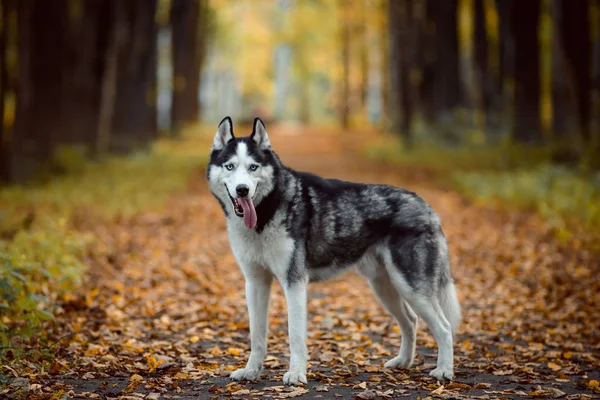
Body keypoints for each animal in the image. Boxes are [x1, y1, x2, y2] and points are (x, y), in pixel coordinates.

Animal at [204, 117, 462, 386]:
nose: (242, 190)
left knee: (444, 328)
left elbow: (295, 335)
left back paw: (444, 370)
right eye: (230, 166)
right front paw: (251, 371)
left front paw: (296, 374)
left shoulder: (294, 282)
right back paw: (403, 362)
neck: (267, 211)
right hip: (386, 286)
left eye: (253, 167)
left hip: (411, 288)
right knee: (411, 321)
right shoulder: (255, 282)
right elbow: (257, 336)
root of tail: (427, 206)